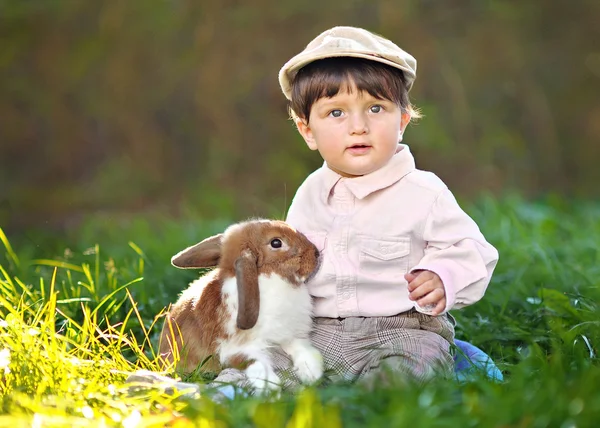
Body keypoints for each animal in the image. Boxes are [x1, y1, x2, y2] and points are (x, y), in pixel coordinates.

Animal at [157, 219, 322, 392]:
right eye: (276, 243)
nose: (316, 252)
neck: (268, 277)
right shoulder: (238, 349)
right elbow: (256, 363)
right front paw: (271, 386)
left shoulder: (290, 335)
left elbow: (301, 349)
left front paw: (312, 372)